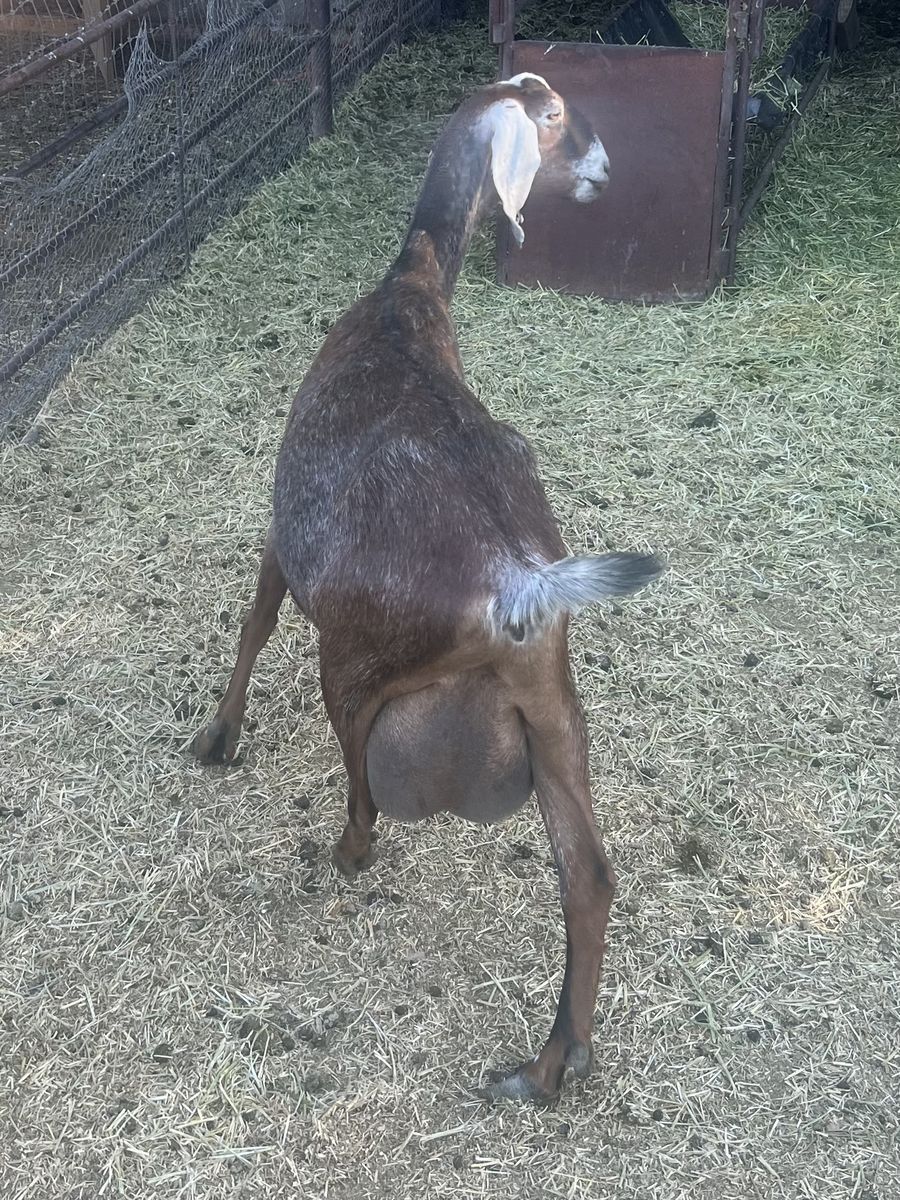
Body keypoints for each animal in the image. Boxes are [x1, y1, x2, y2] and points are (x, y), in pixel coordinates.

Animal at [193, 73, 664, 1102]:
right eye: (559, 115)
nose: (608, 173)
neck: (403, 296)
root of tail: (513, 583)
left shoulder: (286, 530)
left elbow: (254, 618)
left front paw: (216, 736)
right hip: (553, 699)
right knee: (591, 873)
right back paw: (549, 1064)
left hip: (359, 664)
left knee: (365, 794)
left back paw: (344, 855)